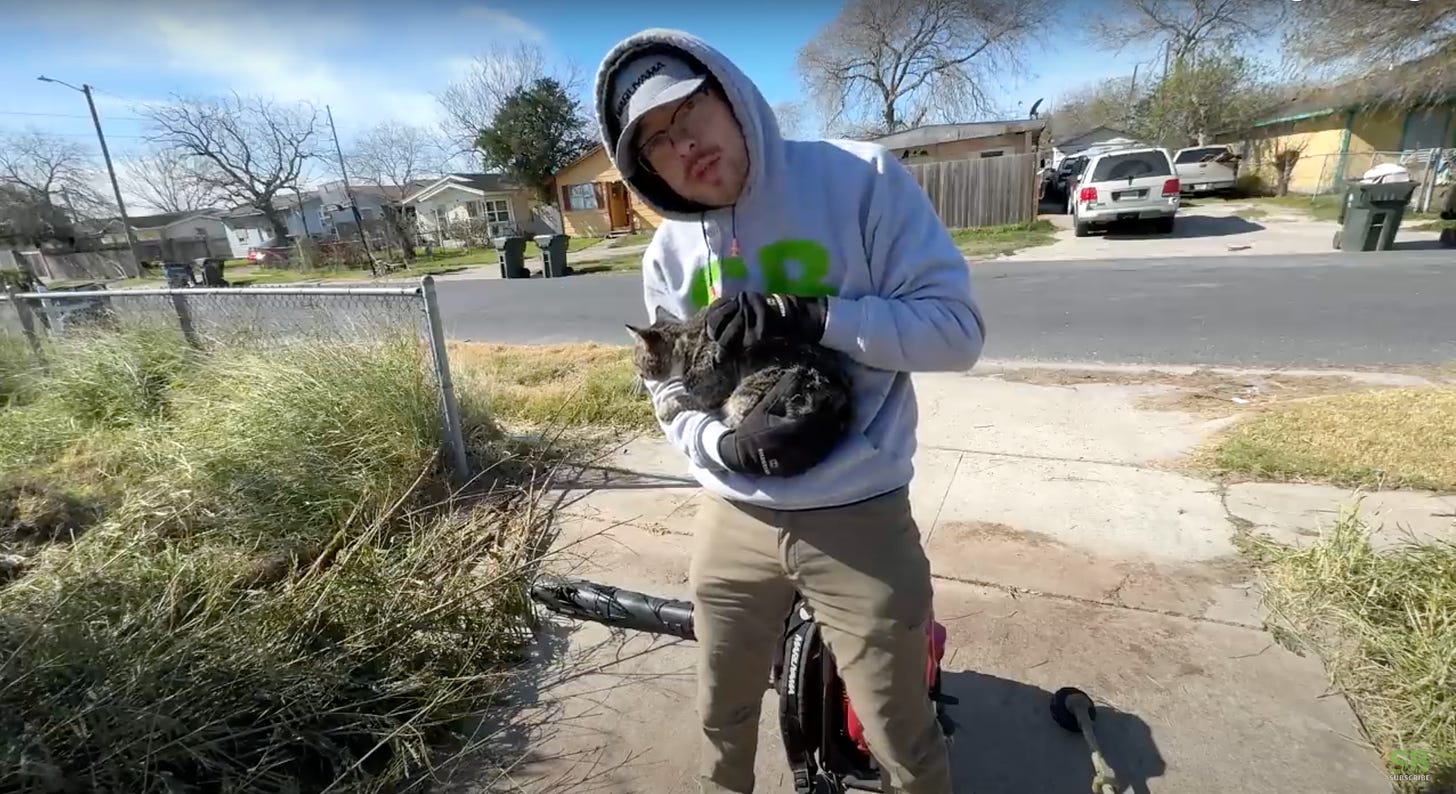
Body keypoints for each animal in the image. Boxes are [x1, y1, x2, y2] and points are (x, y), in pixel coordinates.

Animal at [626, 305, 850, 434]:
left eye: (636, 361)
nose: (637, 373)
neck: (686, 343)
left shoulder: (711, 393)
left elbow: (685, 398)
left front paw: (665, 409)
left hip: (751, 387)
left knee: (733, 421)